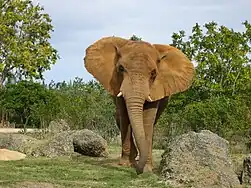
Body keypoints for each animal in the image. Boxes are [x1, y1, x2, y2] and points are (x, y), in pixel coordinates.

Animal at [83, 36, 195, 175]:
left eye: (153, 74)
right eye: (120, 69)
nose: (137, 171)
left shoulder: (157, 88)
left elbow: (147, 120)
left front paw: (146, 169)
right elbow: (125, 117)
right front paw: (126, 164)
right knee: (119, 118)